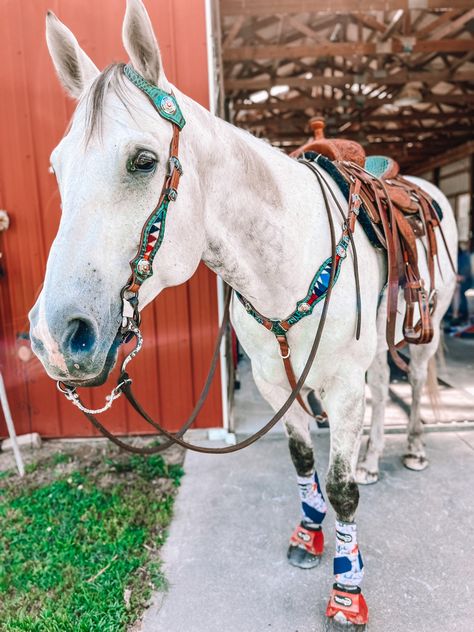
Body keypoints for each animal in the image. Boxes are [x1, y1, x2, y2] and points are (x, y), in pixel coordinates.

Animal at [28, 1, 456, 628]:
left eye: (144, 161)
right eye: (57, 169)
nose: (56, 337)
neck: (287, 259)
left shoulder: (340, 386)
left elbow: (342, 489)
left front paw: (346, 593)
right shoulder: (276, 380)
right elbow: (303, 461)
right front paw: (307, 538)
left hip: (420, 335)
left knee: (416, 380)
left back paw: (415, 449)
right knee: (383, 386)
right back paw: (376, 458)